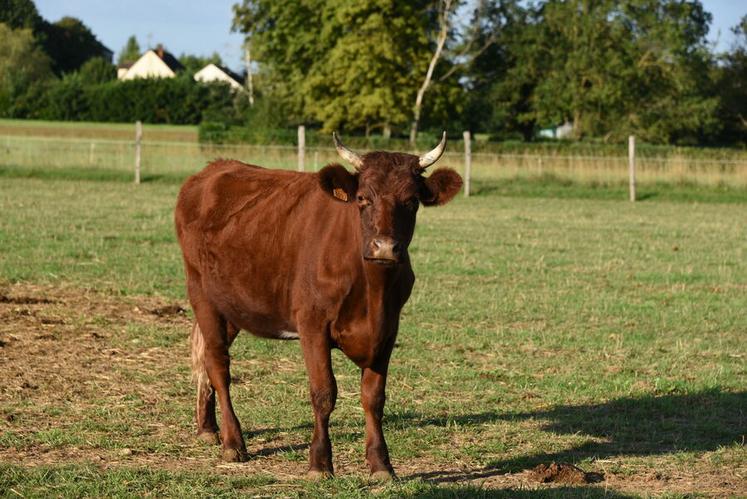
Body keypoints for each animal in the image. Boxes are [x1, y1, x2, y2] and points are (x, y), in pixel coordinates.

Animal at [177, 134, 462, 480]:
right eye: (362, 198)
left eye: (412, 201)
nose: (384, 247)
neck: (372, 292)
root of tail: (213, 169)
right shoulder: (312, 325)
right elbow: (324, 393)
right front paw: (319, 463)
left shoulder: (387, 331)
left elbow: (374, 398)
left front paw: (381, 465)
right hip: (202, 294)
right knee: (219, 367)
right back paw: (233, 443)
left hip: (233, 305)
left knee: (206, 357)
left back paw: (207, 428)